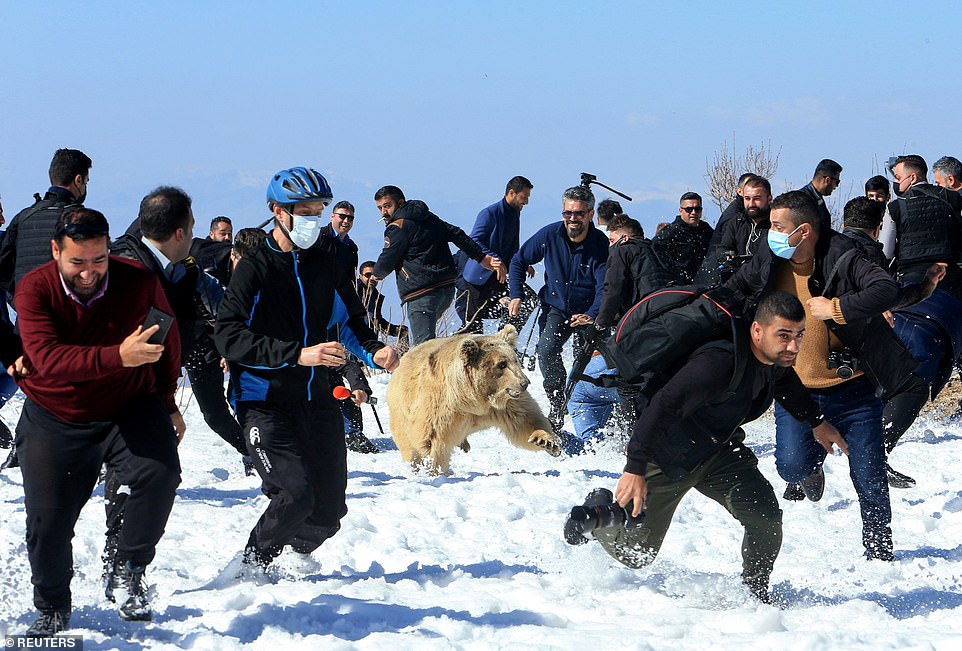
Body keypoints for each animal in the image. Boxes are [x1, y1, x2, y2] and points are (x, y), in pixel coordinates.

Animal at [384, 324, 560, 474]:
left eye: (514, 359)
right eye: (502, 364)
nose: (524, 383)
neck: (474, 400)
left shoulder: (505, 407)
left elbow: (526, 421)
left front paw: (545, 441)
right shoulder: (440, 408)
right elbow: (432, 443)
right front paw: (436, 470)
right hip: (401, 412)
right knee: (408, 445)